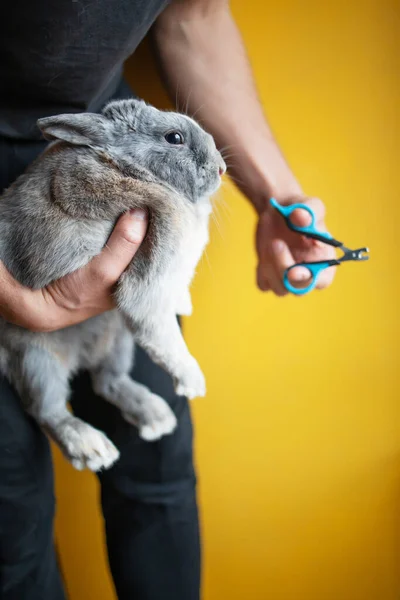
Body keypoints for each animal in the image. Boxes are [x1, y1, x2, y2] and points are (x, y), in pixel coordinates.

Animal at [0, 98, 225, 472]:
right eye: (174, 137)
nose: (221, 168)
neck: (131, 168)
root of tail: (81, 357)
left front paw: (184, 303)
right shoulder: (150, 280)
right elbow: (165, 337)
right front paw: (193, 383)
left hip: (117, 342)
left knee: (107, 382)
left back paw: (156, 417)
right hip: (35, 359)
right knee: (47, 410)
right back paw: (92, 448)